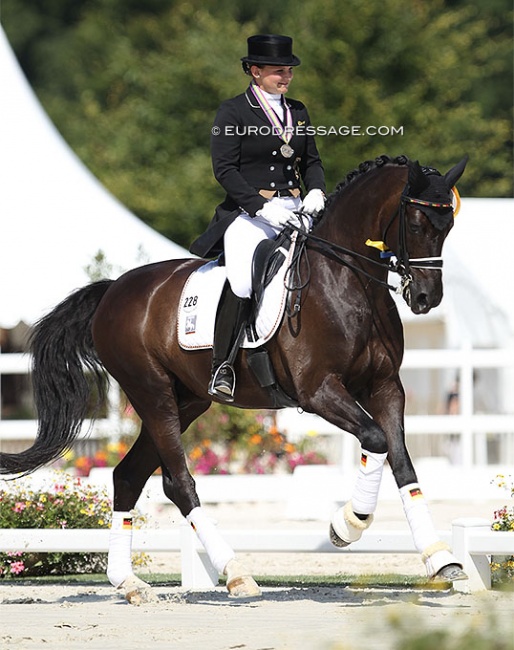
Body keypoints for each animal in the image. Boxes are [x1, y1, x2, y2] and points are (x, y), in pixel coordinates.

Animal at [0, 153, 466, 604]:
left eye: (449, 226)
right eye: (417, 223)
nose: (426, 298)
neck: (347, 280)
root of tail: (113, 290)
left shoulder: (386, 387)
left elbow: (401, 462)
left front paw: (441, 560)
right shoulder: (318, 391)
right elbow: (375, 439)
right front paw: (347, 524)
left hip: (187, 399)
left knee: (128, 476)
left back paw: (129, 583)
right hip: (152, 393)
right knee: (178, 481)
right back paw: (236, 572)